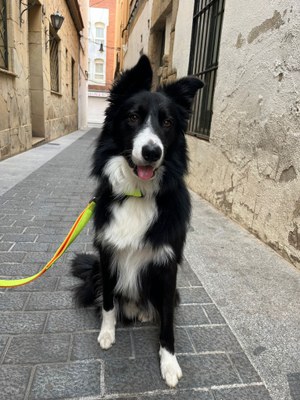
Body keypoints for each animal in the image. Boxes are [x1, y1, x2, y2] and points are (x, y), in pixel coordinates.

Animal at [72, 56, 204, 388]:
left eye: (167, 123)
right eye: (132, 117)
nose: (152, 151)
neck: (137, 193)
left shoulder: (168, 266)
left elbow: (168, 322)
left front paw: (169, 363)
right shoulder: (107, 254)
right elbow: (108, 301)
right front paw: (107, 333)